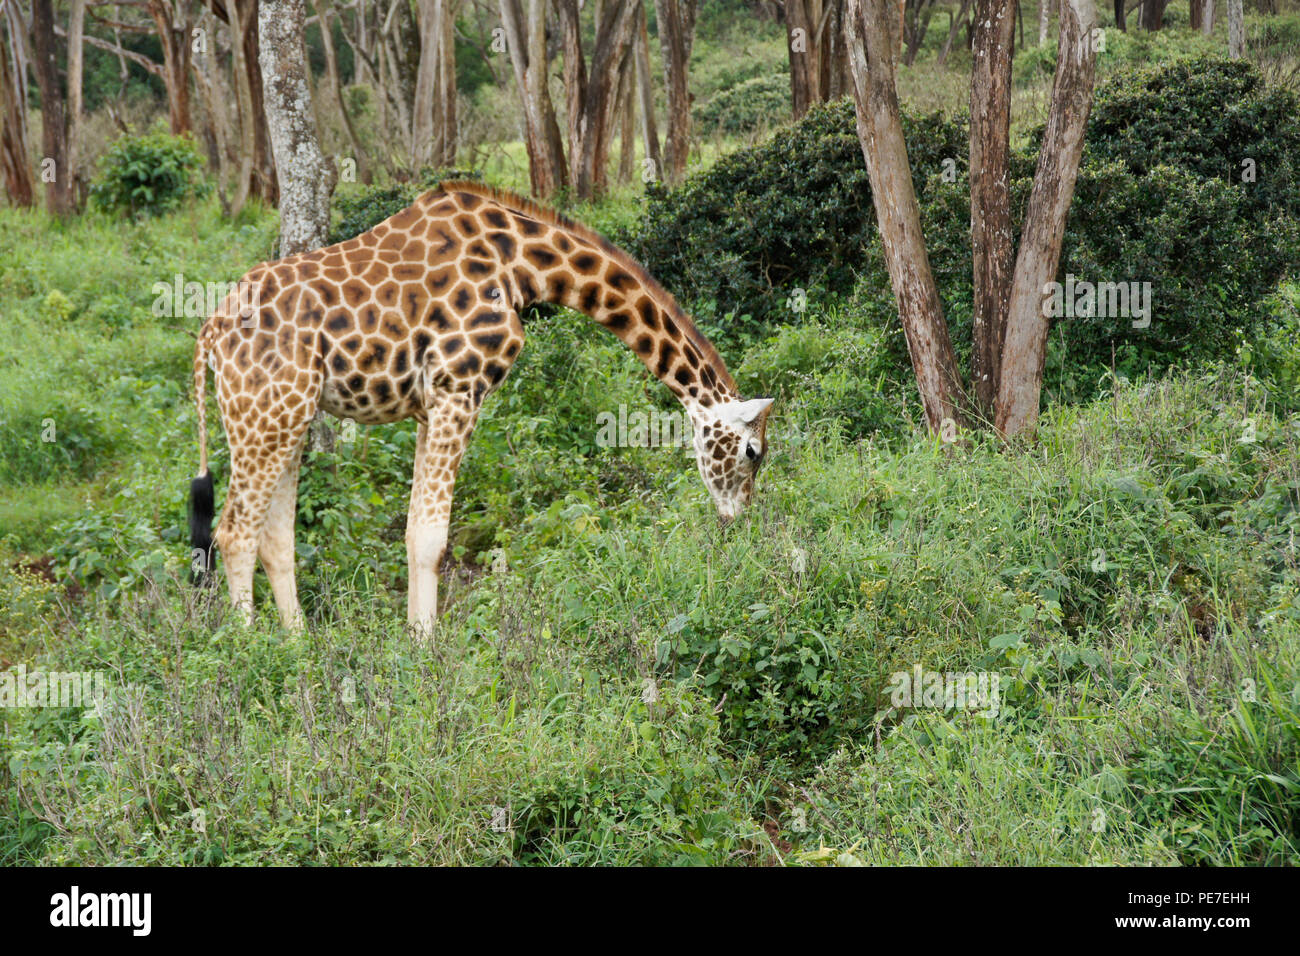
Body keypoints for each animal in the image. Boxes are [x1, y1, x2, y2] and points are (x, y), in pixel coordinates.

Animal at [189, 181, 773, 633]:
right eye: (752, 452)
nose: (739, 524)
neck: (524, 263)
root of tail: (210, 331)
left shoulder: (429, 406)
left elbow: (413, 531)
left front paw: (414, 636)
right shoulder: (458, 388)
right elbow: (432, 537)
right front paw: (426, 653)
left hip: (288, 416)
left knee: (274, 537)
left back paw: (300, 645)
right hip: (265, 415)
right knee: (233, 533)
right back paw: (255, 654)